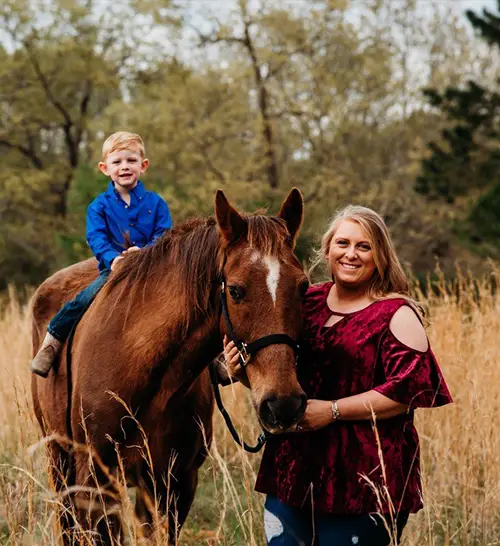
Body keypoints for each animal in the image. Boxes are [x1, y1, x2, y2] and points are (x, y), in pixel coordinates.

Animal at [31, 186, 308, 540]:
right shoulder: (96, 482)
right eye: (235, 290)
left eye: (302, 287)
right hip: (58, 459)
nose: (283, 404)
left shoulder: (175, 484)